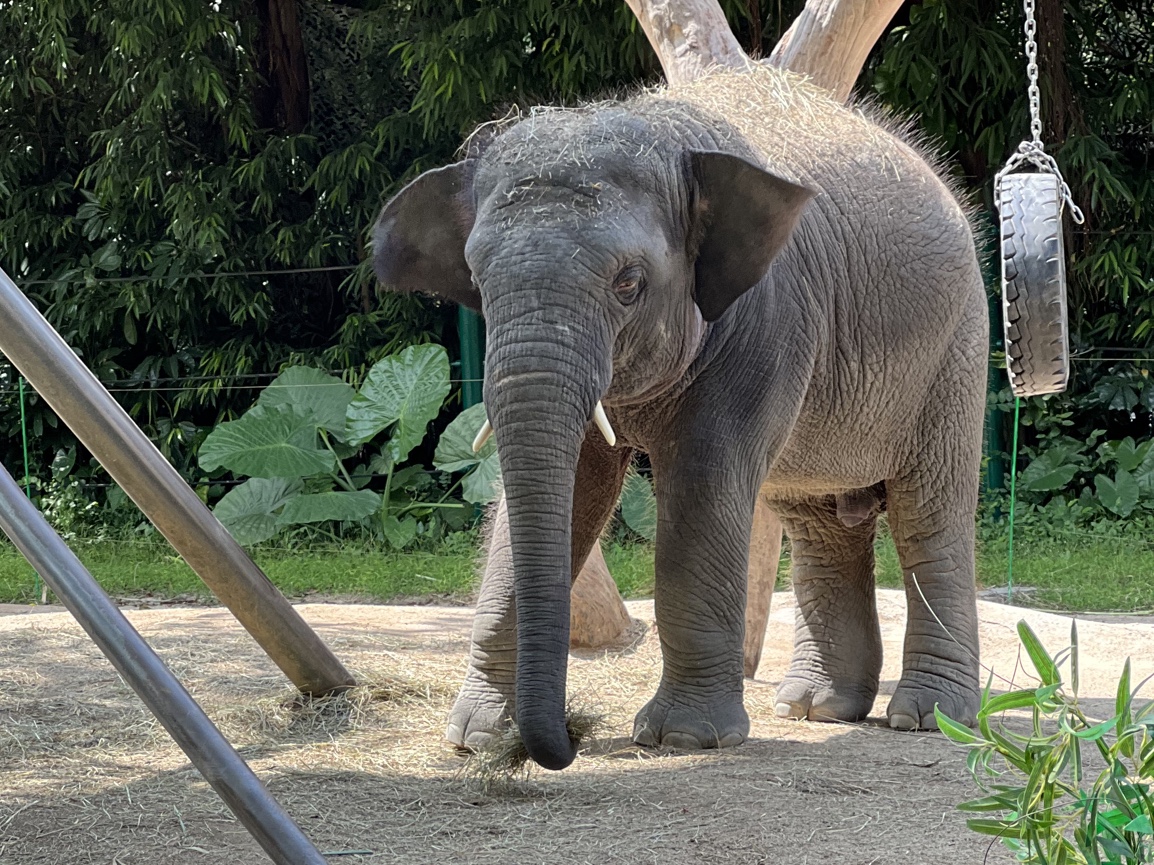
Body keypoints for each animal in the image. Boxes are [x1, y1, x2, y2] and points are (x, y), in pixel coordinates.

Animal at [373, 66, 987, 770]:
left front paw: (683, 739)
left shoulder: (766, 319)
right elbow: (569, 487)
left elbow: (702, 488)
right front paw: (476, 740)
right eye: (476, 279)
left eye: (629, 283)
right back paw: (815, 709)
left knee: (930, 515)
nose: (568, 743)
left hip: (956, 350)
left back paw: (930, 719)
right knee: (820, 525)